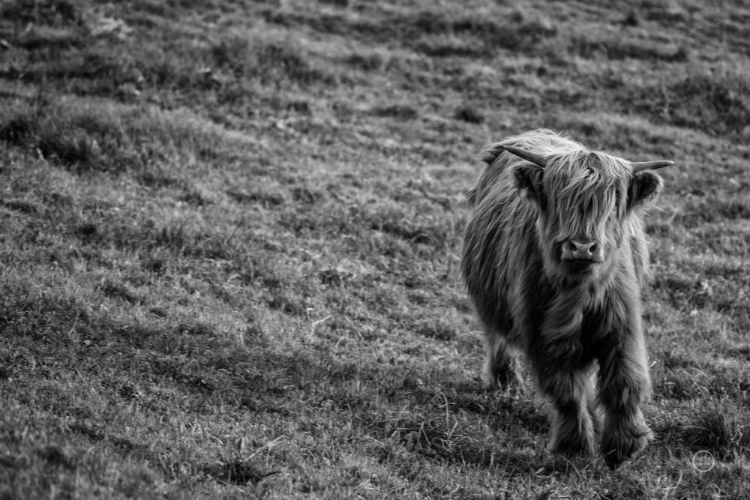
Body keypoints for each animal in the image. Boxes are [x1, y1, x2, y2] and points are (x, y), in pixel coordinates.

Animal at [464, 129, 676, 468]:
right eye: (560, 198)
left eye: (611, 203)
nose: (582, 247)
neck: (579, 293)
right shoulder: (543, 335)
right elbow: (566, 392)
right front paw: (575, 447)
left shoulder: (623, 327)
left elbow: (625, 382)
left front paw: (625, 445)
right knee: (497, 336)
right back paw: (505, 382)